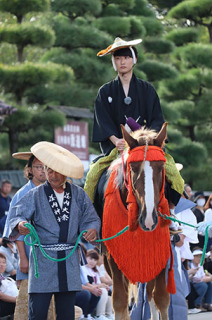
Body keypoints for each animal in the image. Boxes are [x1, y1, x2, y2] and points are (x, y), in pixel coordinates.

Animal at [95, 122, 173, 320]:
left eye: (161, 167)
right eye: (133, 167)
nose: (149, 218)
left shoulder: (160, 251)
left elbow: (161, 298)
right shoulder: (115, 256)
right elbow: (119, 302)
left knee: (151, 295)